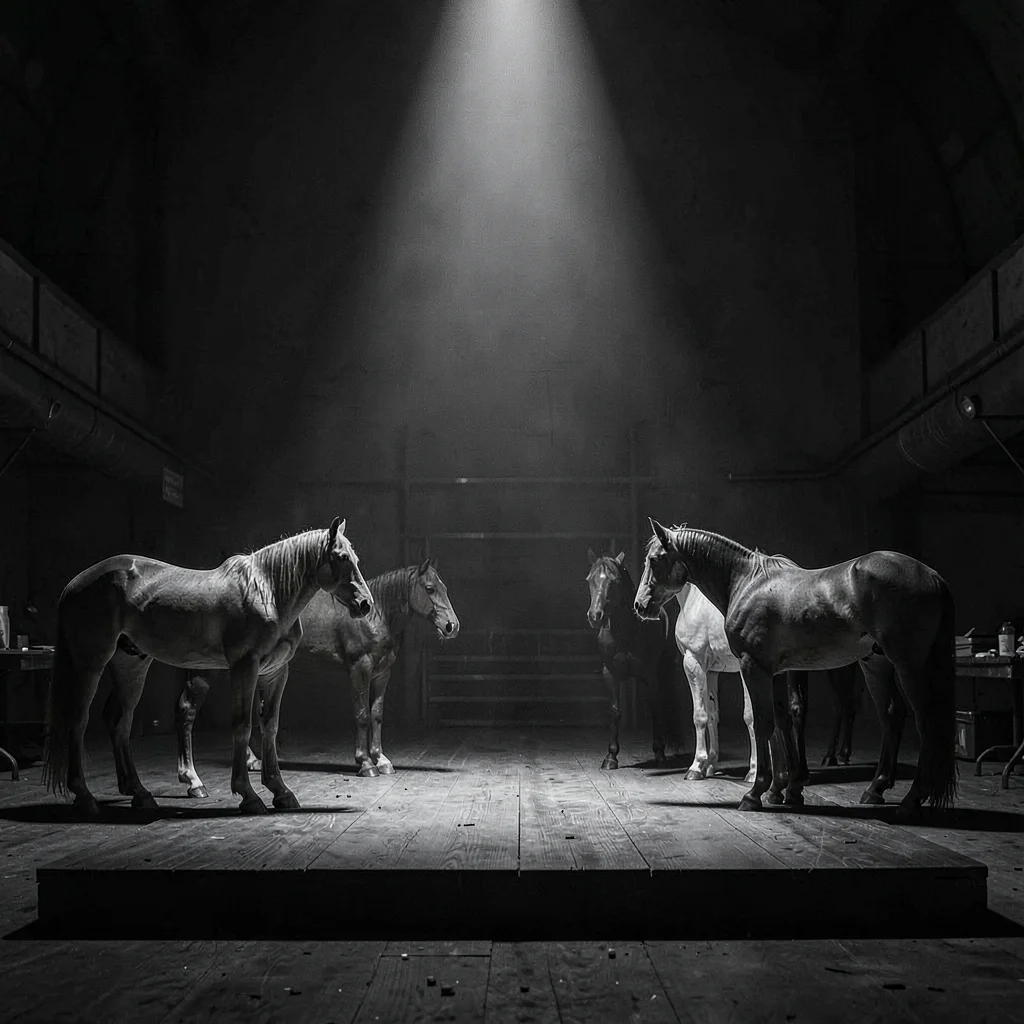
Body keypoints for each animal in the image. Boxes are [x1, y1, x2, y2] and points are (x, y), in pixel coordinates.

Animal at [42, 518, 373, 817]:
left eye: (355, 559)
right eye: (342, 558)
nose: (365, 604)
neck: (267, 591)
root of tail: (76, 583)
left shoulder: (276, 673)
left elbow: (270, 726)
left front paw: (281, 791)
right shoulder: (244, 666)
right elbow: (242, 725)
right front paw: (248, 794)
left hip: (131, 665)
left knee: (119, 720)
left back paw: (140, 792)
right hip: (89, 663)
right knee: (78, 720)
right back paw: (85, 796)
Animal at [174, 559, 460, 793]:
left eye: (445, 588)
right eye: (430, 589)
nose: (452, 626)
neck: (374, 616)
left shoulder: (382, 674)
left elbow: (377, 715)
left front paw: (382, 760)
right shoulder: (359, 670)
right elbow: (362, 716)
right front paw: (365, 763)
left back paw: (251, 761)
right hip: (207, 670)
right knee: (188, 710)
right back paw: (193, 781)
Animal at [586, 549, 679, 770]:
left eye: (615, 581)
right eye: (590, 579)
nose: (595, 616)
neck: (626, 631)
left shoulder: (650, 676)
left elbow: (655, 708)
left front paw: (659, 752)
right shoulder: (610, 674)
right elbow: (614, 711)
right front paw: (611, 757)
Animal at [635, 521, 954, 818]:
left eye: (654, 559)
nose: (640, 605)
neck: (747, 583)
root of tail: (933, 575)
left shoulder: (745, 666)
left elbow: (757, 722)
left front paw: (753, 789)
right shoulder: (771, 672)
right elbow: (780, 722)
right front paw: (787, 789)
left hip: (907, 665)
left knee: (924, 720)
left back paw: (912, 798)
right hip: (876, 664)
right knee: (890, 714)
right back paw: (876, 787)